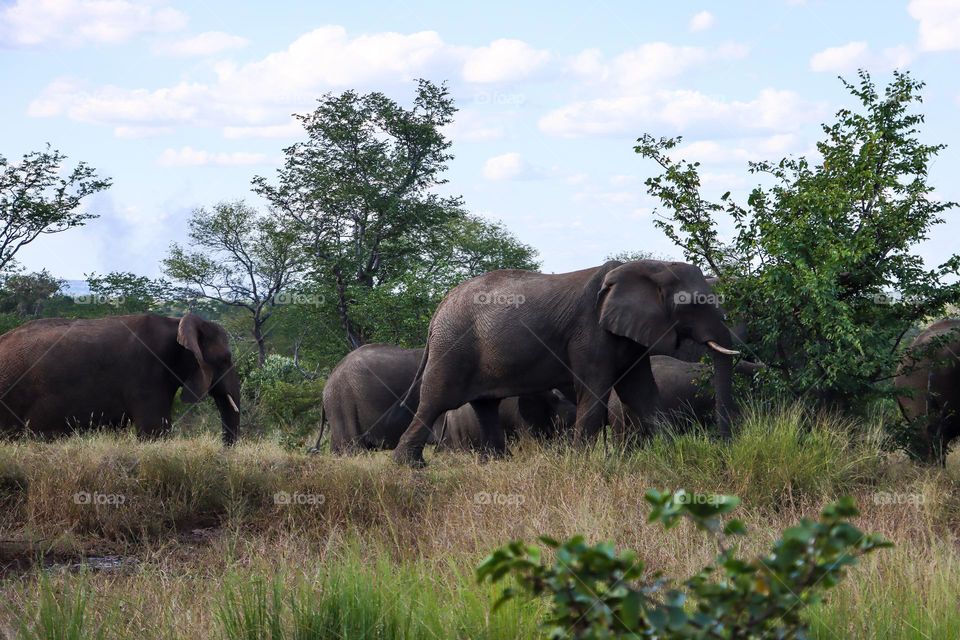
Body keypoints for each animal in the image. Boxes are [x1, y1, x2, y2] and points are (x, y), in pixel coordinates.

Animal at [392, 259, 740, 466]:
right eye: (694, 303)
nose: (724, 448)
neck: (647, 266)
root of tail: (439, 308)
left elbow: (641, 393)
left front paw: (671, 452)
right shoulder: (590, 331)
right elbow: (595, 393)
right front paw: (581, 463)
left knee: (485, 406)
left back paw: (498, 462)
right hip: (453, 347)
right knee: (435, 401)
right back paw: (408, 465)